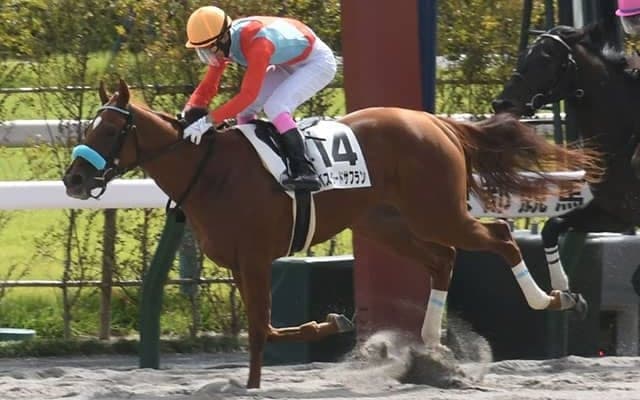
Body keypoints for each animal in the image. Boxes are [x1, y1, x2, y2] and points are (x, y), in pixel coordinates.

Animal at [63, 79, 599, 388]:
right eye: (88, 127)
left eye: (108, 131)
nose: (73, 180)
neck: (210, 172)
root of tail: (436, 122)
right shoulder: (241, 263)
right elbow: (264, 328)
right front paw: (315, 336)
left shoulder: (255, 259)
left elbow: (261, 327)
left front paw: (316, 335)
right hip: (383, 222)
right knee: (442, 258)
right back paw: (431, 346)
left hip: (437, 212)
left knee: (500, 236)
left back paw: (556, 297)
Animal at [492, 22, 640, 300]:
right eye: (523, 55)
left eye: (546, 58)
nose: (501, 103)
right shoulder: (615, 212)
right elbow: (552, 226)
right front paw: (565, 290)